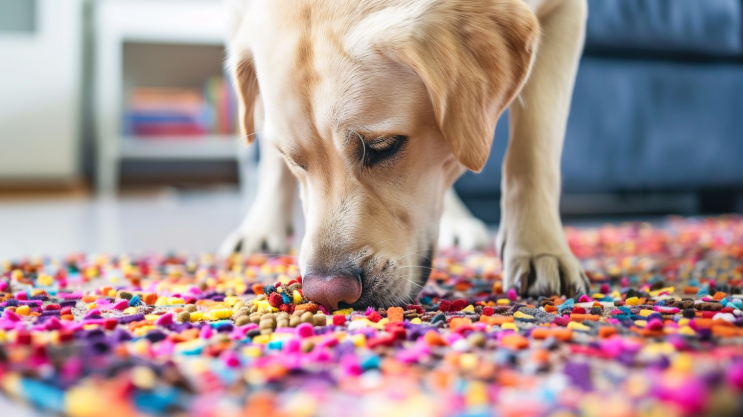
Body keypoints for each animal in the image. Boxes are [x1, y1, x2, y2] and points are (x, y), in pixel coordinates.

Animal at [218, 0, 588, 308]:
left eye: (383, 146)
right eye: (294, 160)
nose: (328, 292)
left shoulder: (567, 13)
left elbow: (533, 149)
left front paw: (541, 248)